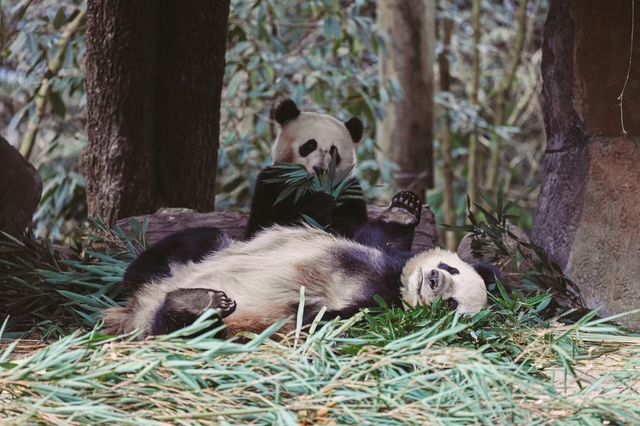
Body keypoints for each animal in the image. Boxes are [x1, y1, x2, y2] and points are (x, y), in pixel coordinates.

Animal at [105, 194, 498, 340]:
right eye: (451, 268)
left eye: (451, 305)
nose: (433, 279)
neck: (394, 284)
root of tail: (135, 313)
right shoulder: (375, 253)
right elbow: (370, 235)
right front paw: (402, 210)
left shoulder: (376, 309)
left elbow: (319, 323)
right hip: (208, 249)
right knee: (199, 240)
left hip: (226, 329)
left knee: (178, 332)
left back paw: (197, 305)